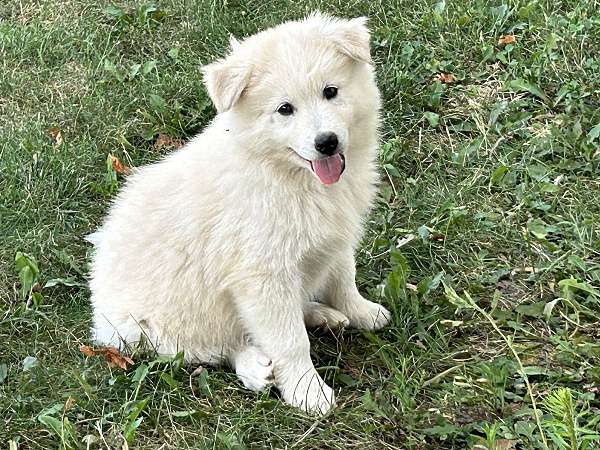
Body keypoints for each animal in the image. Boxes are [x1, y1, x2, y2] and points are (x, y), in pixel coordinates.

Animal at [88, 13, 390, 414]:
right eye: (284, 109)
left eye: (331, 91)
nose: (326, 143)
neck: (285, 174)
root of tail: (100, 321)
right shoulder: (261, 276)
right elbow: (290, 340)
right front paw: (308, 393)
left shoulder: (333, 238)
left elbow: (343, 279)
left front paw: (362, 312)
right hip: (148, 327)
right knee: (212, 347)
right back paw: (254, 367)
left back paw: (322, 315)